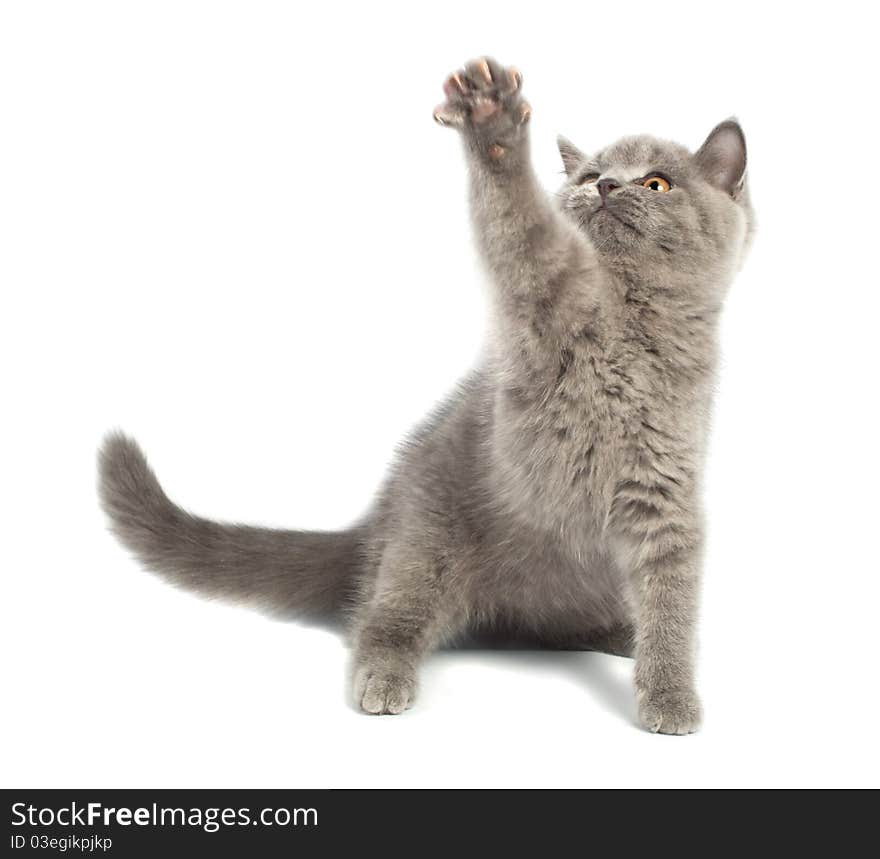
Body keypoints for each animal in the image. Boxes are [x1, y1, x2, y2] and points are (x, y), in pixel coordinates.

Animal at [101, 57, 748, 736]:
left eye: (656, 183)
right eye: (591, 174)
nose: (604, 188)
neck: (629, 317)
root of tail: (376, 524)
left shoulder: (667, 493)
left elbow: (673, 606)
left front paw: (671, 692)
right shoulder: (541, 294)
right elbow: (520, 229)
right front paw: (494, 125)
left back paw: (620, 633)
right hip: (424, 540)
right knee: (382, 618)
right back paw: (384, 677)